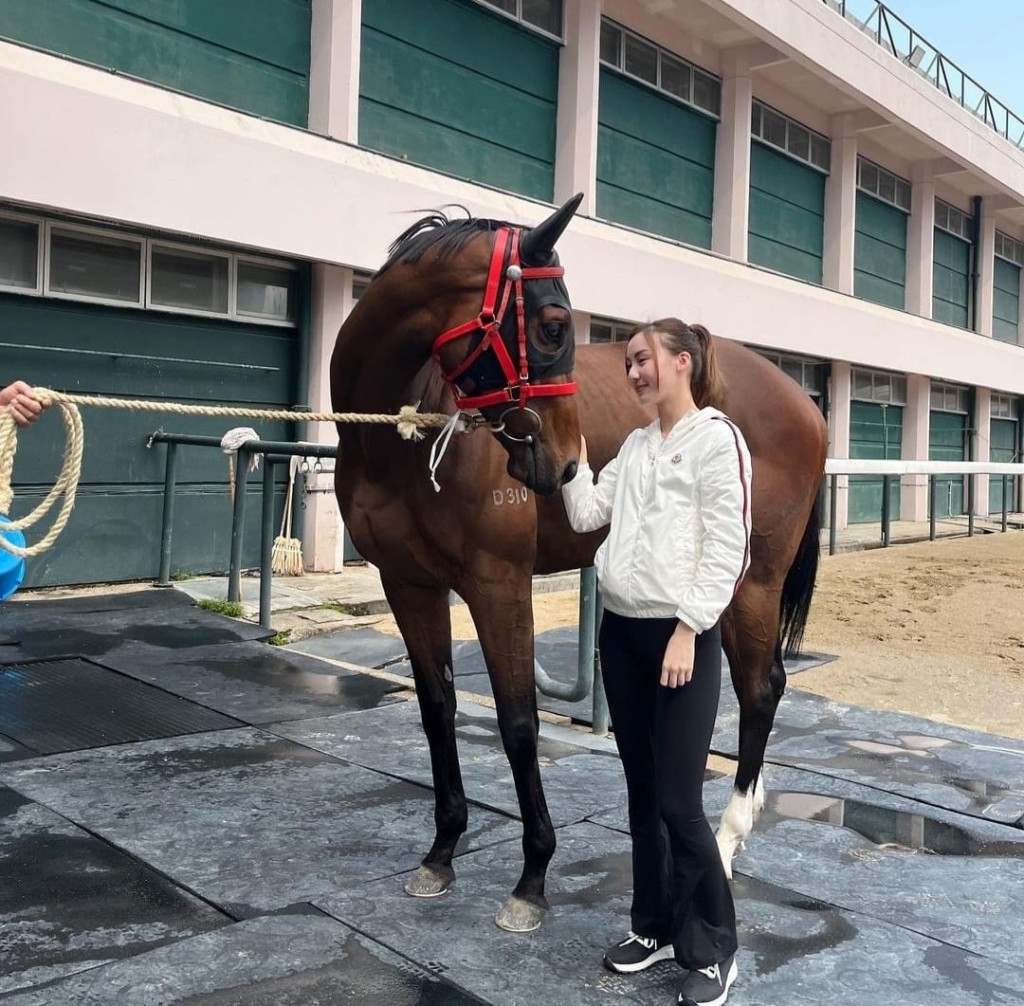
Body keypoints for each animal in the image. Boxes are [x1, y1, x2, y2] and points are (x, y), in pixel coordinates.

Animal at [331, 192, 827, 934]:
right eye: (551, 324)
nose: (566, 465)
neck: (398, 444)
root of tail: (805, 403)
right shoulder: (409, 585)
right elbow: (437, 707)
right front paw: (442, 851)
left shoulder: (497, 584)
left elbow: (519, 723)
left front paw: (532, 879)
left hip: (754, 582)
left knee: (761, 689)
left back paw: (727, 838)